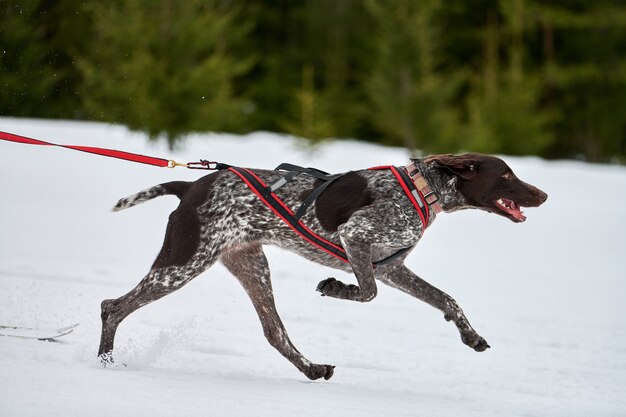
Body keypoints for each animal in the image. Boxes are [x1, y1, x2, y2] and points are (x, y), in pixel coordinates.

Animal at [97, 154, 544, 380]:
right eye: (506, 174)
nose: (543, 195)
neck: (422, 190)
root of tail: (190, 186)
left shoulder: (390, 266)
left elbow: (446, 299)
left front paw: (471, 335)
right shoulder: (356, 238)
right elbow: (367, 292)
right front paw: (335, 288)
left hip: (250, 265)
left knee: (275, 332)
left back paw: (311, 369)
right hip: (182, 263)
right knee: (112, 307)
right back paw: (104, 364)